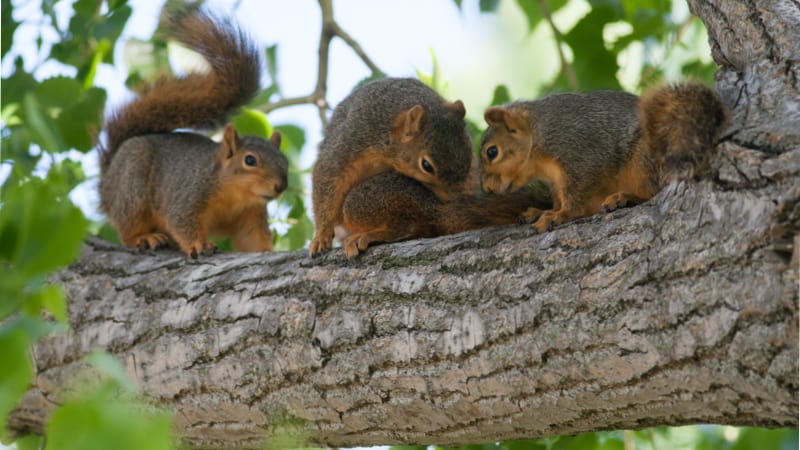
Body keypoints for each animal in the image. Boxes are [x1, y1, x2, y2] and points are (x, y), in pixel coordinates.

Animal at [98, 5, 290, 256]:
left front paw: (268, 251)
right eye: (250, 160)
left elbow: (253, 240)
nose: (280, 186)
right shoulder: (187, 196)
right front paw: (200, 243)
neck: (235, 195)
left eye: (285, 162)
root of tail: (106, 179)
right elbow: (182, 222)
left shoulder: (250, 215)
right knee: (129, 227)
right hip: (132, 186)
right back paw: (145, 237)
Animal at [310, 77, 478, 256]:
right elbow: (326, 179)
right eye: (426, 165)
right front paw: (321, 236)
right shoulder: (349, 143)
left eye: (469, 158)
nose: (455, 199)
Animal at [478, 81, 728, 234]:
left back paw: (625, 197)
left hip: (643, 159)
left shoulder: (581, 152)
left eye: (492, 152)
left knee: (653, 191)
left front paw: (559, 215)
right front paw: (545, 211)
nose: (487, 189)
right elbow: (563, 199)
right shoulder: (556, 182)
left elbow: (577, 197)